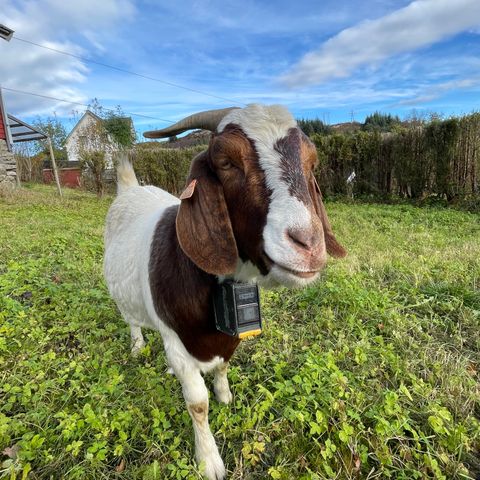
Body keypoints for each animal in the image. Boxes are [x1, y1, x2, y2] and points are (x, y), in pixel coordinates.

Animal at [104, 105, 344, 480]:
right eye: (226, 162)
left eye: (312, 162)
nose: (307, 243)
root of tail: (131, 189)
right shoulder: (176, 340)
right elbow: (197, 404)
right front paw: (209, 460)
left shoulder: (228, 337)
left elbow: (222, 367)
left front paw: (225, 395)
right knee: (132, 321)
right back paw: (137, 346)